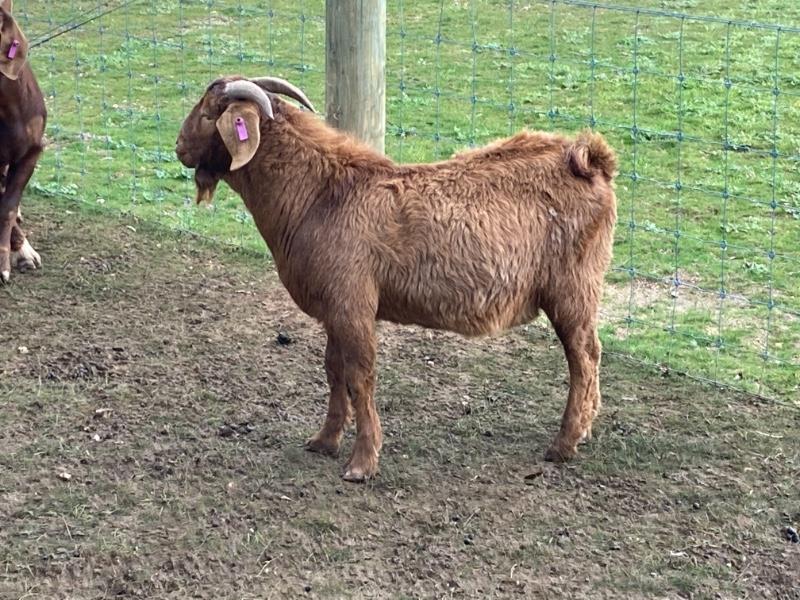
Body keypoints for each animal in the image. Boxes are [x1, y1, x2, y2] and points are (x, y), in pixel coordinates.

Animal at [176, 76, 618, 482]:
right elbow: (333, 370)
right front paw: (324, 441)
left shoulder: (353, 304)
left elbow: (360, 376)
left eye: (208, 113)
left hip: (572, 288)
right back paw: (585, 430)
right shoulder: (334, 309)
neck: (321, 194)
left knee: (584, 357)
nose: (179, 148)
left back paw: (564, 444)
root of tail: (588, 159)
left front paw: (361, 463)